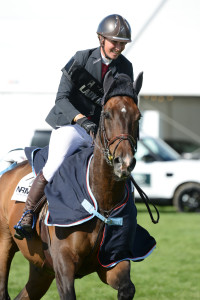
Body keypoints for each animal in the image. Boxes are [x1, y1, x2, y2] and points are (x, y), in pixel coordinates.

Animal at [0, 70, 153, 300]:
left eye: (139, 117)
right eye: (107, 114)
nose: (124, 162)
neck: (102, 200)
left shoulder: (113, 261)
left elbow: (127, 288)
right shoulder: (63, 265)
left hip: (41, 268)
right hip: (4, 244)